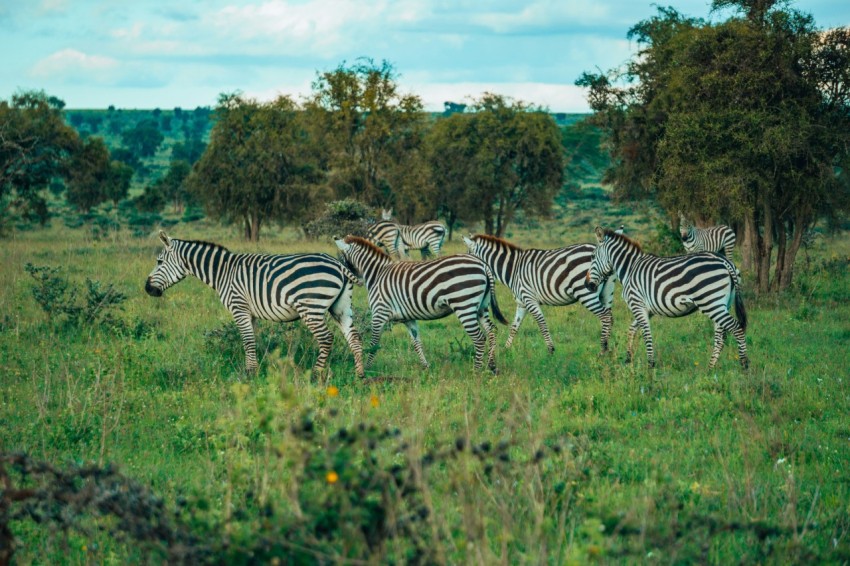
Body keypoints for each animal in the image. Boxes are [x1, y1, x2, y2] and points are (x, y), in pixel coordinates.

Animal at [144, 231, 362, 382]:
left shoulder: (239, 307)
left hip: (311, 307)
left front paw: (250, 374)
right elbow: (252, 340)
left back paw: (315, 375)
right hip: (340, 307)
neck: (223, 272)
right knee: (354, 338)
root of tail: (337, 263)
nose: (147, 289)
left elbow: (247, 341)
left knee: (326, 338)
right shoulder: (251, 313)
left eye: (159, 261)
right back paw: (360, 374)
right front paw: (255, 370)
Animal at [332, 235, 504, 372]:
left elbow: (374, 342)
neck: (377, 274)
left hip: (464, 305)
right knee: (491, 331)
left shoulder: (379, 313)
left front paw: (368, 368)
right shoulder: (408, 318)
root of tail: (483, 264)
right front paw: (426, 367)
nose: (348, 280)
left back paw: (476, 372)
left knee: (479, 338)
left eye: (341, 259)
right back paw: (492, 366)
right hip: (481, 306)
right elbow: (416, 343)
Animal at [460, 235, 612, 356]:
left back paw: (603, 349)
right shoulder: (521, 303)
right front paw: (505, 350)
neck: (514, 269)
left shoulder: (529, 299)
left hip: (586, 293)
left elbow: (541, 323)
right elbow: (514, 326)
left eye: (469, 254)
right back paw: (608, 349)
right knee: (609, 317)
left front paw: (550, 350)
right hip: (606, 293)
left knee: (605, 316)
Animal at [588, 227, 744, 372]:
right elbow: (632, 329)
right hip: (722, 304)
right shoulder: (647, 309)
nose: (588, 285)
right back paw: (710, 369)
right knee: (721, 337)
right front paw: (628, 359)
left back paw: (744, 366)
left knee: (736, 328)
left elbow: (646, 334)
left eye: (593, 257)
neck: (630, 269)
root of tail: (724, 261)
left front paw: (650, 366)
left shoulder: (637, 303)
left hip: (711, 303)